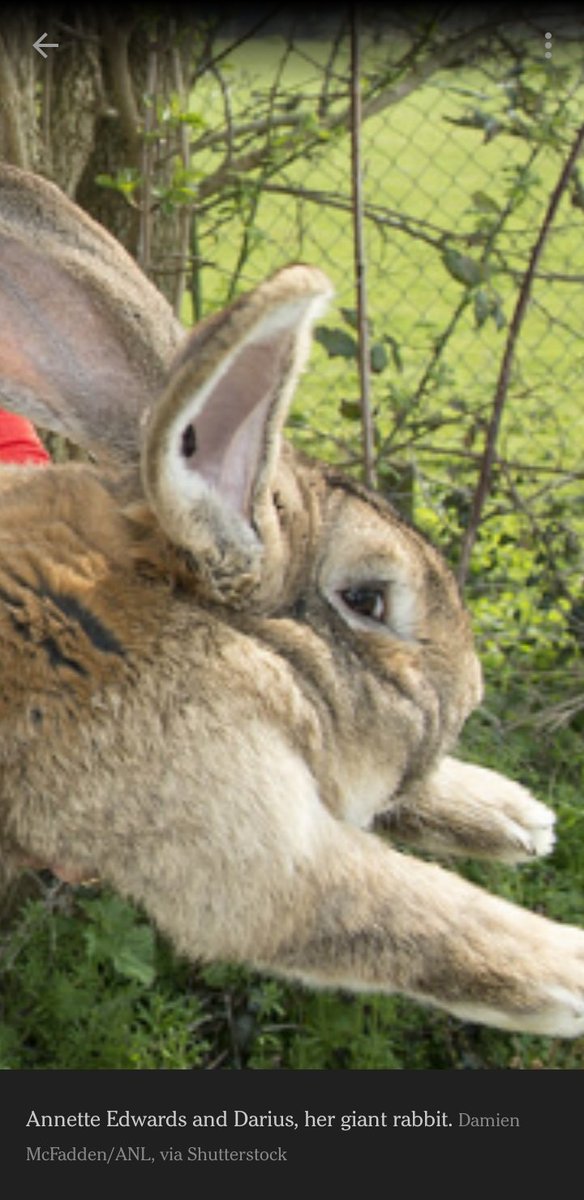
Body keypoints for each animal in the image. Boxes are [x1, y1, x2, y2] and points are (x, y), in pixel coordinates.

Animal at [0, 163, 582, 1039]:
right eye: (368, 599)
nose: (473, 689)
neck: (187, 609)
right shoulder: (249, 846)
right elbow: (422, 914)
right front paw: (570, 968)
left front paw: (512, 815)